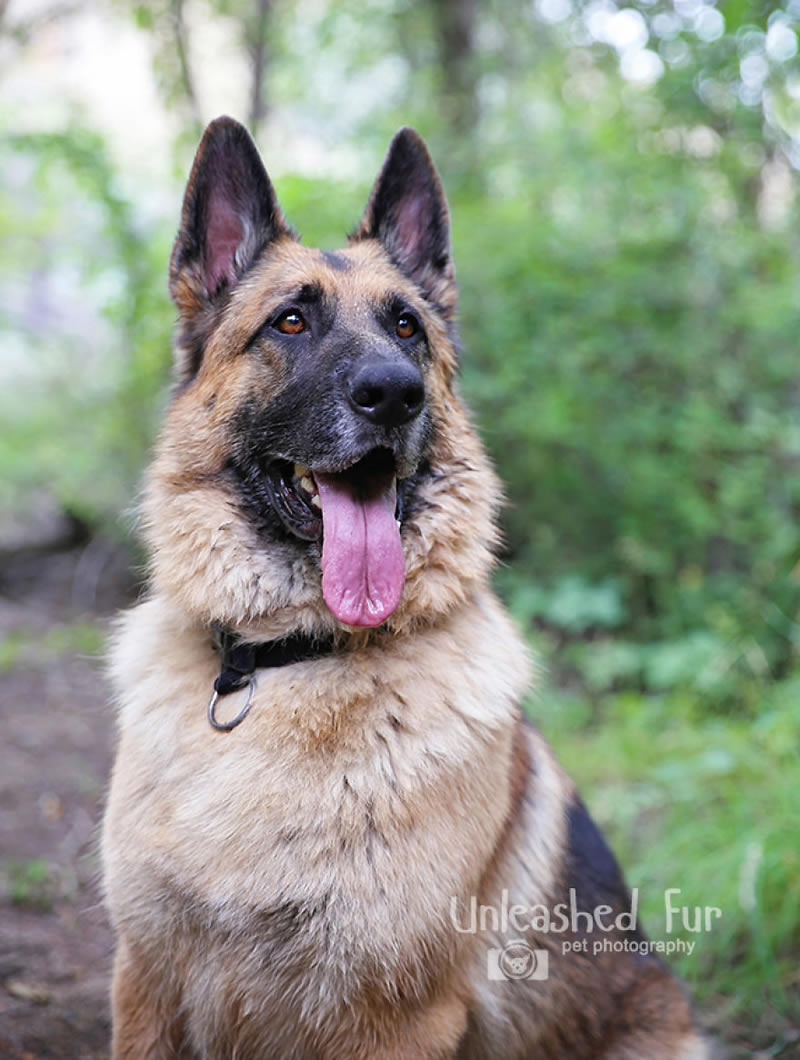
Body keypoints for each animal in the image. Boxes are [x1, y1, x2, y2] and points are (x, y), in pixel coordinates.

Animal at [101, 120, 712, 1055]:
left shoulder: (392, 1019)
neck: (284, 661)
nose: (394, 394)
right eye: (289, 321)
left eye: (407, 327)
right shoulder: (144, 985)